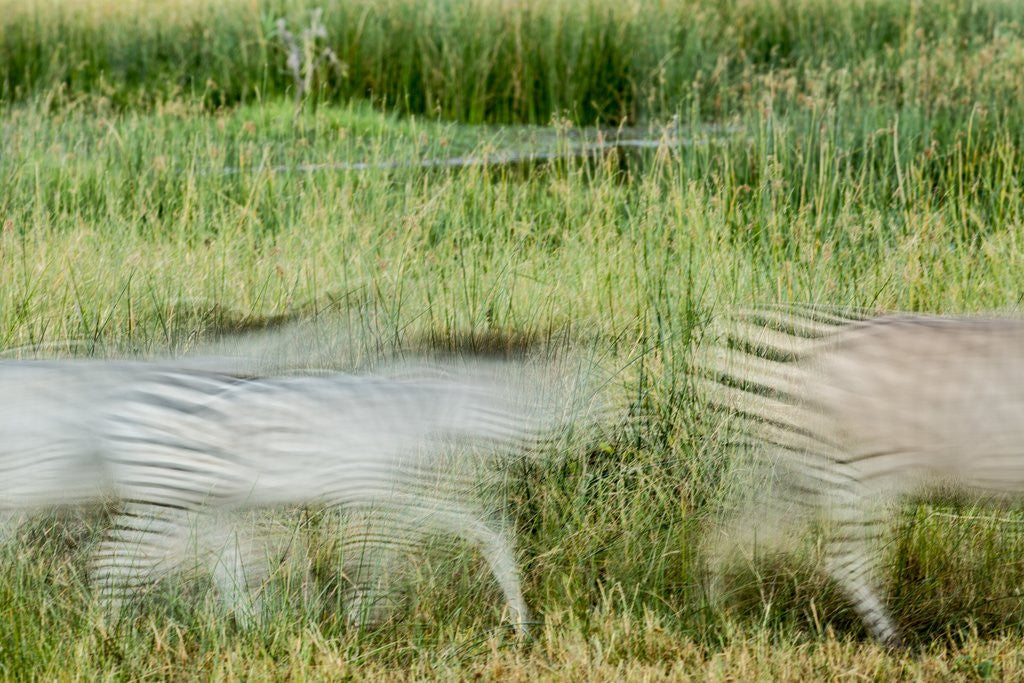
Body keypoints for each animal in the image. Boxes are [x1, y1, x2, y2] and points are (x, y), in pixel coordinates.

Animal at [694, 307, 1024, 647]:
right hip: (863, 477)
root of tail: (812, 356)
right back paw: (895, 642)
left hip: (808, 475)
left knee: (734, 533)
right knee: (843, 561)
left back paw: (715, 611)